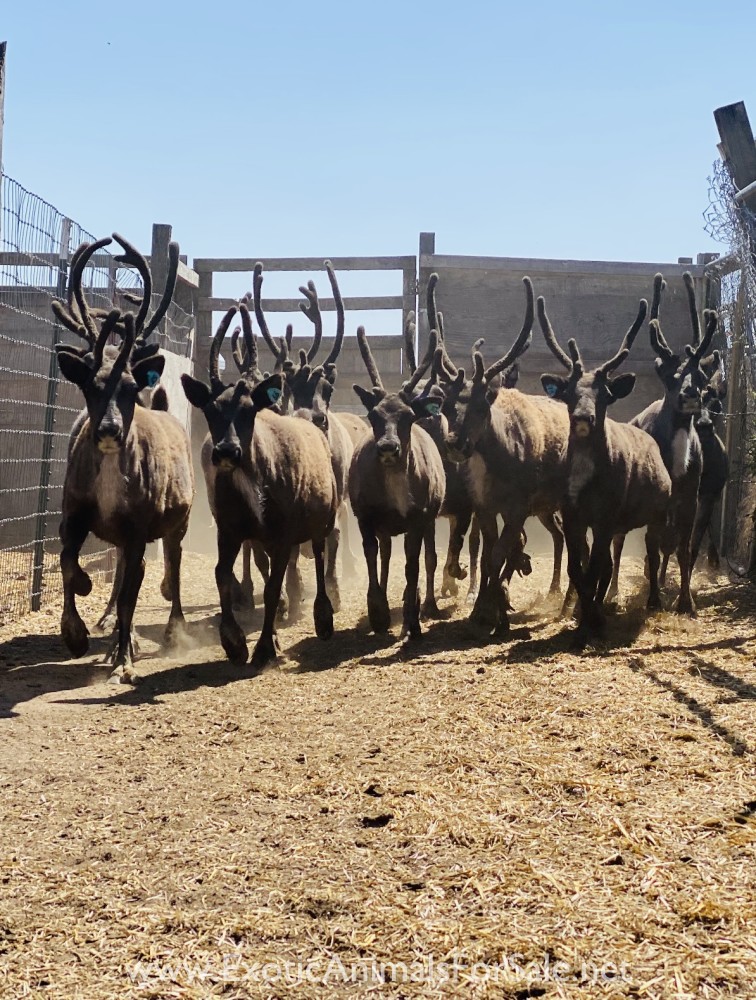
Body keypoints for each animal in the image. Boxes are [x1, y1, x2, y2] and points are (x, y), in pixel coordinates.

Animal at [52, 236, 193, 683]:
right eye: (91, 385)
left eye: (131, 386)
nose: (110, 430)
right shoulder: (73, 513)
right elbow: (67, 562)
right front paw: (76, 632)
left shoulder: (138, 527)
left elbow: (133, 594)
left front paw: (123, 659)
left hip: (179, 522)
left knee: (172, 568)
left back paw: (171, 629)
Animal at [181, 306, 339, 670]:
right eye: (210, 409)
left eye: (248, 409)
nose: (226, 451)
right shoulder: (230, 529)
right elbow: (223, 575)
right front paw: (234, 642)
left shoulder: (283, 533)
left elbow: (273, 586)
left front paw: (266, 646)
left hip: (324, 515)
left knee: (321, 552)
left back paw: (323, 616)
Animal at [349, 325, 446, 640]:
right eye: (373, 414)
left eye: (409, 415)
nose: (388, 447)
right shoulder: (365, 514)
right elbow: (371, 555)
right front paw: (377, 613)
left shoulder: (418, 517)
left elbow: (412, 566)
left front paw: (412, 622)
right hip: (385, 526)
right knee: (385, 554)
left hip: (427, 519)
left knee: (422, 557)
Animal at [538, 295, 672, 644]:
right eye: (569, 393)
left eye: (605, 394)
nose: (583, 418)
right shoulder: (573, 513)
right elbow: (579, 568)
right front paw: (582, 615)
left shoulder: (606, 513)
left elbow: (595, 567)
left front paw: (592, 622)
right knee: (611, 563)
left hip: (660, 509)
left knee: (652, 551)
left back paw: (654, 601)